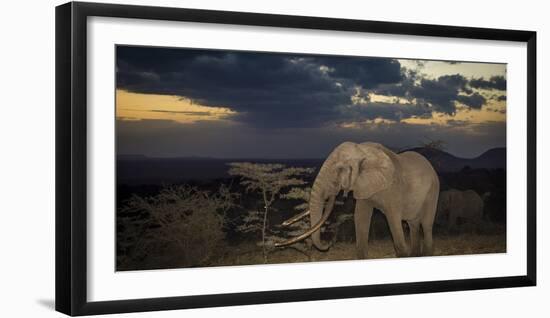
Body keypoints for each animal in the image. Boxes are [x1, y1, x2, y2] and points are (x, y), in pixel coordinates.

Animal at [278, 142, 442, 258]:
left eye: (339, 170)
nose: (328, 244)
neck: (362, 150)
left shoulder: (393, 187)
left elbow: (393, 219)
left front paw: (403, 255)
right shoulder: (363, 186)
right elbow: (361, 217)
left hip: (433, 190)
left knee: (426, 224)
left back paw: (425, 255)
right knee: (413, 223)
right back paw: (415, 255)